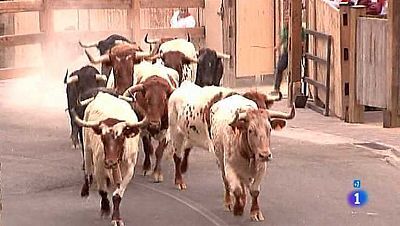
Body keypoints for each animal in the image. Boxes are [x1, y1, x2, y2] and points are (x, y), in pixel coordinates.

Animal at [72, 92, 147, 226]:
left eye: (121, 138)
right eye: (103, 138)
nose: (110, 162)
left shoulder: (129, 170)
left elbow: (117, 195)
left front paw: (116, 218)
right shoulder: (99, 167)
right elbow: (102, 191)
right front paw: (105, 208)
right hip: (87, 146)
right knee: (88, 170)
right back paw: (85, 189)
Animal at [209, 94, 294, 222]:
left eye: (269, 129)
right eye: (250, 130)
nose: (265, 155)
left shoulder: (262, 168)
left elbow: (254, 191)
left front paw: (255, 212)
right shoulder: (229, 167)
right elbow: (236, 190)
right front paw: (238, 208)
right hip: (220, 160)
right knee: (226, 182)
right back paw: (229, 202)